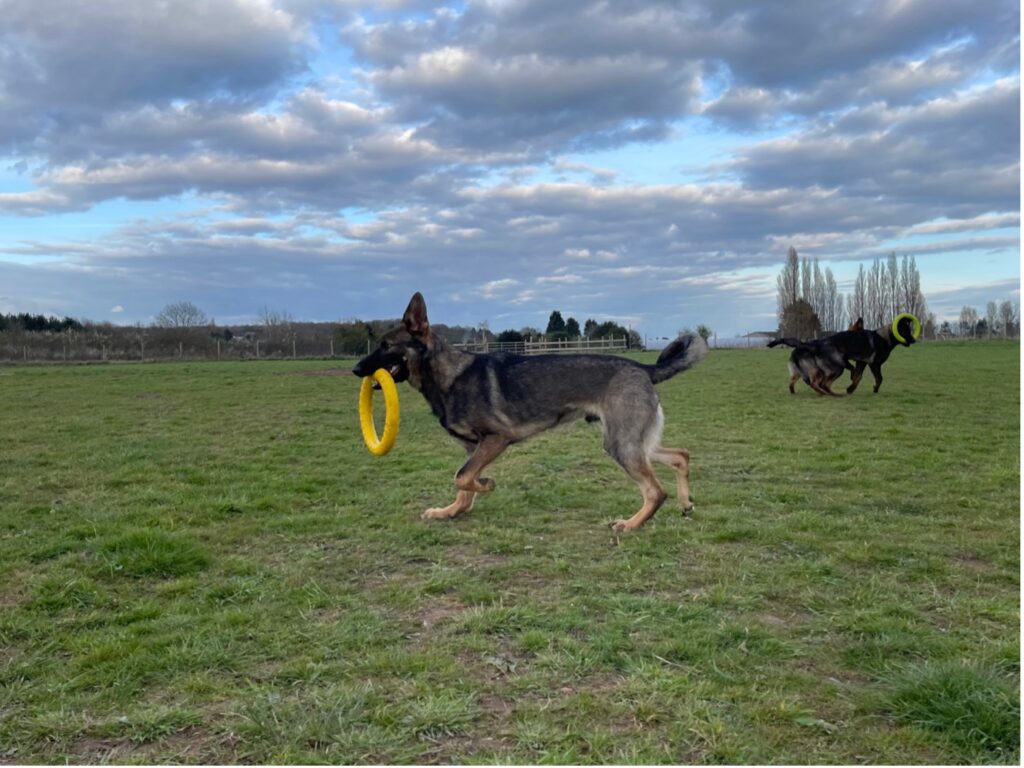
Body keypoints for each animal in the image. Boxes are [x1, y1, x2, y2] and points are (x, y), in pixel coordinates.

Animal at [352, 294, 704, 536]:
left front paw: (486, 484)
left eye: (386, 345)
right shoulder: (472, 448)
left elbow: (463, 477)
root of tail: (642, 367)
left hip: (621, 444)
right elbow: (463, 484)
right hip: (634, 442)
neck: (447, 374)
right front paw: (450, 511)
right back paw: (685, 503)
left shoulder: (496, 439)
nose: (356, 370)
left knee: (656, 491)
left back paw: (631, 524)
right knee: (681, 455)